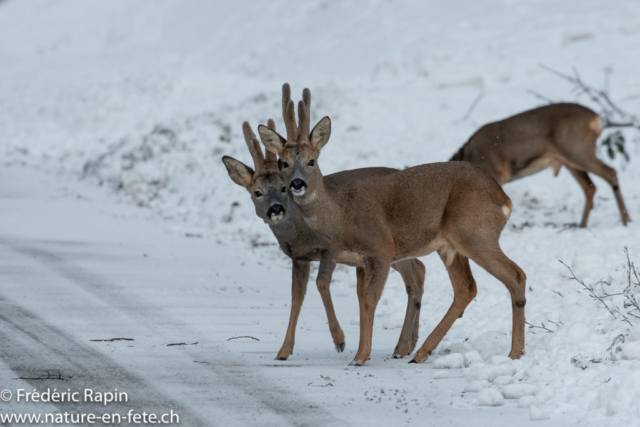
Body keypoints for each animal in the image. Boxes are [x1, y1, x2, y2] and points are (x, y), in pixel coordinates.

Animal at [222, 114, 428, 362]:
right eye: (257, 192)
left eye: (282, 188)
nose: (276, 209)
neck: (301, 231)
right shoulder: (299, 257)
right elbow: (296, 296)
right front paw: (283, 351)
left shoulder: (329, 250)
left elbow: (321, 283)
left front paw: (340, 340)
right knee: (419, 269)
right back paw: (408, 345)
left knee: (415, 274)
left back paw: (402, 347)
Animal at [258, 85, 528, 366]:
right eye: (284, 162)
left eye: (312, 160)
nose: (297, 184)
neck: (341, 216)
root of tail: (503, 198)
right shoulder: (360, 261)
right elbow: (361, 299)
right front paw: (359, 351)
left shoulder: (380, 249)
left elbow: (369, 300)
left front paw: (359, 356)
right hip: (451, 245)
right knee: (466, 288)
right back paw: (421, 353)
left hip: (476, 233)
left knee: (516, 275)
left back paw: (514, 352)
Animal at [450, 103, 632, 227]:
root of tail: (597, 120)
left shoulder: (496, 172)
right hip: (570, 159)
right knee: (590, 187)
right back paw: (582, 225)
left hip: (577, 150)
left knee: (610, 172)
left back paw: (625, 220)